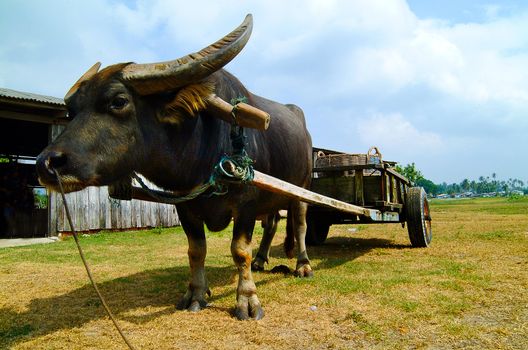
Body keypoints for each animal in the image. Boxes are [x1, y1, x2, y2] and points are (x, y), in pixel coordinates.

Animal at [37, 13, 312, 320]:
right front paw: (195, 294)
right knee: (273, 222)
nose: (47, 163)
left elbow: (240, 250)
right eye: (71, 111)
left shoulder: (246, 203)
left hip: (301, 189)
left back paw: (303, 265)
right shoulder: (185, 205)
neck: (205, 144)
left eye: (118, 101)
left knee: (300, 224)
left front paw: (247, 300)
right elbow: (196, 250)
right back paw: (262, 259)